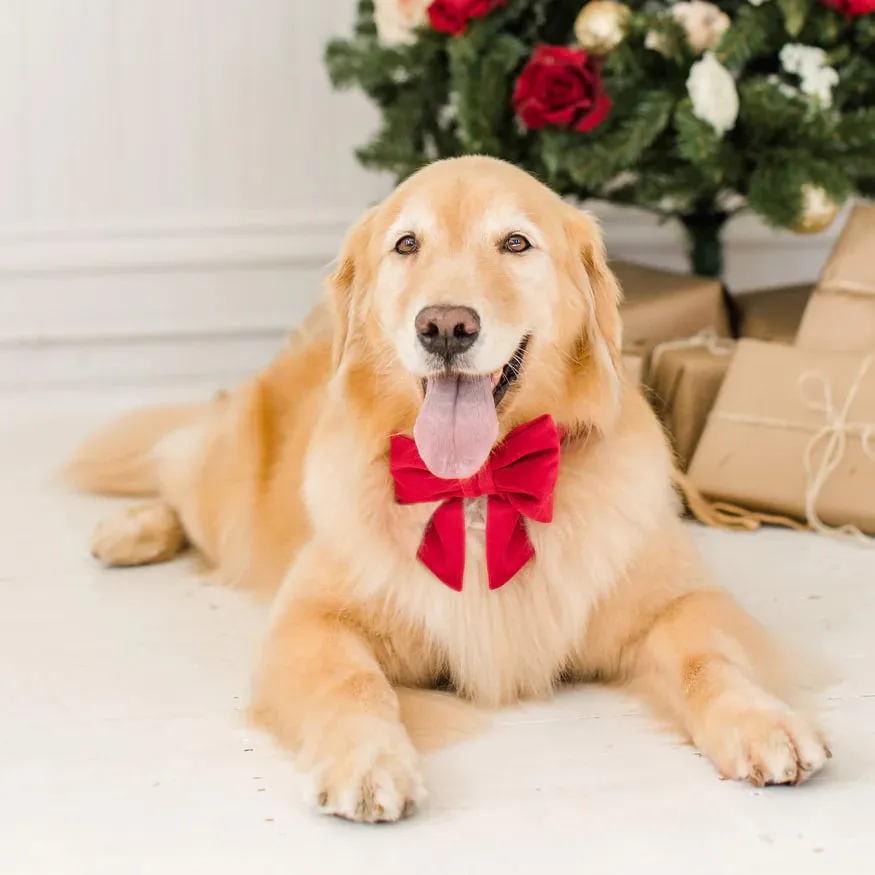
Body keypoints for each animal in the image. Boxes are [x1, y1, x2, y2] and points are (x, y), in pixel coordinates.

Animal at [68, 156, 828, 820]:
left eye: (515, 242)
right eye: (407, 244)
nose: (443, 326)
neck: (480, 480)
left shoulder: (678, 599)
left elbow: (710, 658)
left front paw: (762, 720)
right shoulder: (309, 620)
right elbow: (352, 681)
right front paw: (368, 760)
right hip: (227, 491)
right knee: (176, 469)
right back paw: (131, 529)